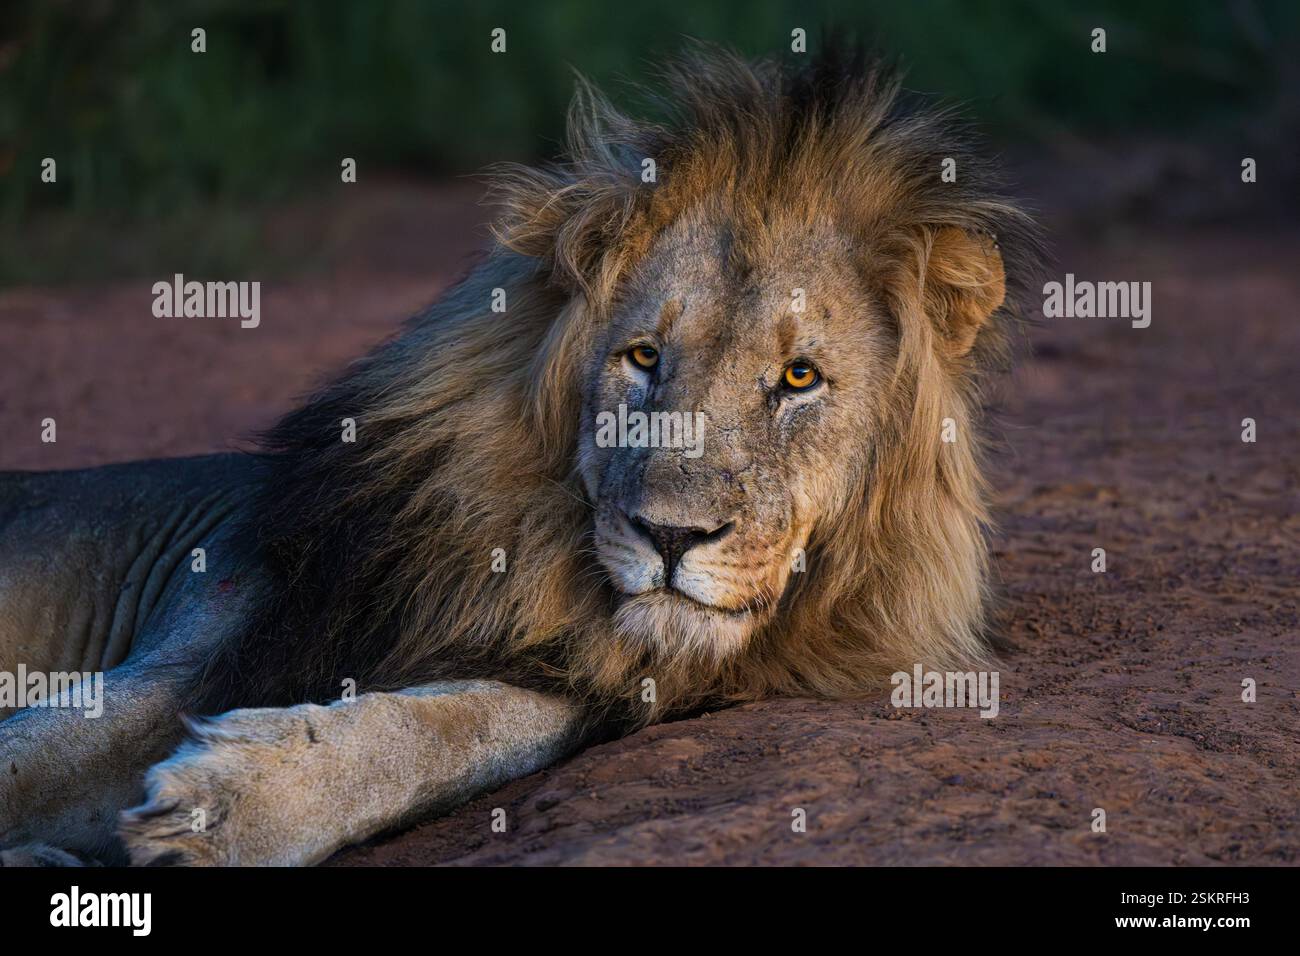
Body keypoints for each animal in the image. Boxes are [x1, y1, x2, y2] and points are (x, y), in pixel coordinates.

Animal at [0, 44, 1039, 866]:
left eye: (797, 377)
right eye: (643, 358)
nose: (671, 539)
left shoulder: (570, 674)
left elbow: (458, 732)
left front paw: (234, 805)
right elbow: (37, 757)